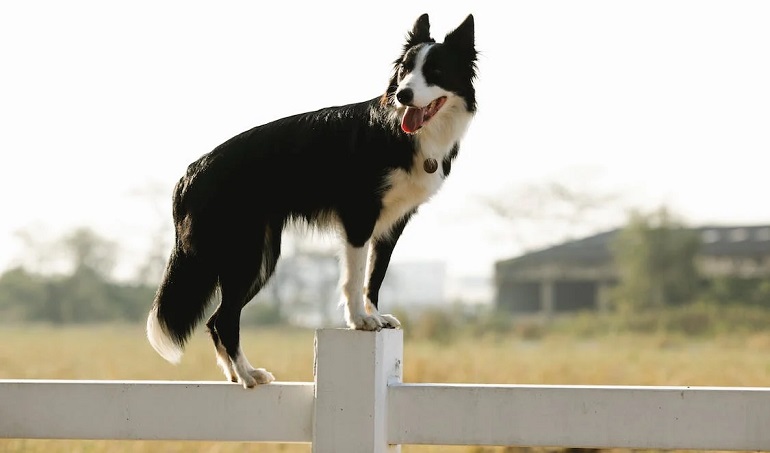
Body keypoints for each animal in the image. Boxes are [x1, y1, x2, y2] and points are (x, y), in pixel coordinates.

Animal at [146, 15, 474, 388]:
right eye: (404, 70)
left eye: (435, 71)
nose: (402, 94)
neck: (402, 132)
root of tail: (189, 174)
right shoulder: (359, 216)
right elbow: (354, 277)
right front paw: (359, 321)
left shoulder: (392, 224)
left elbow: (374, 278)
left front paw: (376, 317)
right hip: (245, 254)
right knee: (224, 319)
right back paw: (247, 376)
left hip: (262, 256)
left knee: (217, 319)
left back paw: (236, 373)